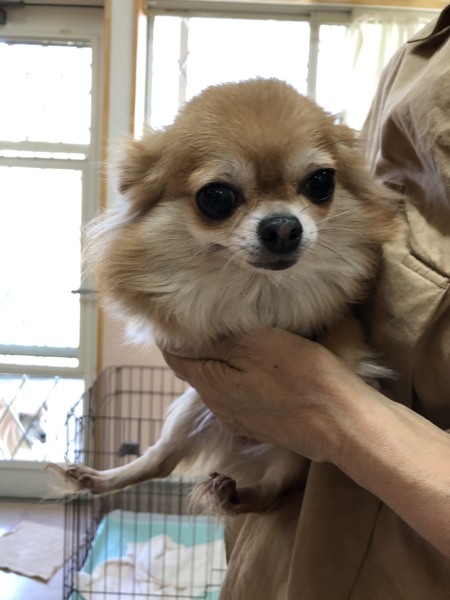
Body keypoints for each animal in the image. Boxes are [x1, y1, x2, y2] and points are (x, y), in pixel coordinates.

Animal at [55, 79, 398, 514]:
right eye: (216, 197)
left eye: (321, 182)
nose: (283, 227)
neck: (258, 286)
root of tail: (242, 448)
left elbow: (342, 342)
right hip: (191, 410)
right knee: (159, 462)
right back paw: (97, 478)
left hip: (293, 450)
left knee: (270, 490)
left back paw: (235, 493)